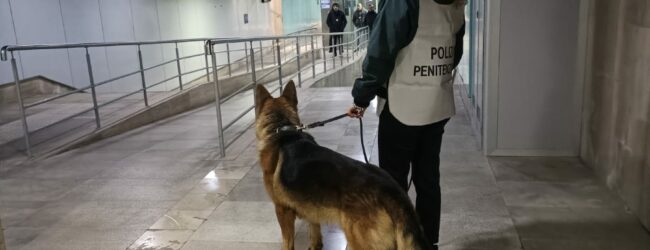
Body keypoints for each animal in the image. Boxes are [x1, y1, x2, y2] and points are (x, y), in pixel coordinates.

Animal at [253, 81, 430, 249]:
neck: (282, 128)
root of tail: (392, 190)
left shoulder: (282, 210)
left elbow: (287, 242)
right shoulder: (311, 210)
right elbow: (315, 234)